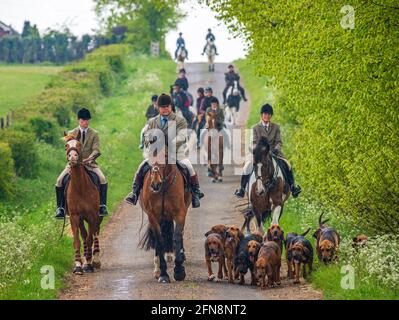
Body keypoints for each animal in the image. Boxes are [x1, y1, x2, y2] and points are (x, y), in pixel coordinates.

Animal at [63, 131, 102, 274]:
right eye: (66, 145)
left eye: (79, 144)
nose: (73, 158)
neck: (80, 187)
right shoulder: (74, 217)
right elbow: (77, 240)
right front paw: (79, 265)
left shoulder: (92, 216)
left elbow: (90, 238)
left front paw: (89, 264)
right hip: (80, 219)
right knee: (84, 235)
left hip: (98, 216)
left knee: (95, 233)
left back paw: (95, 260)